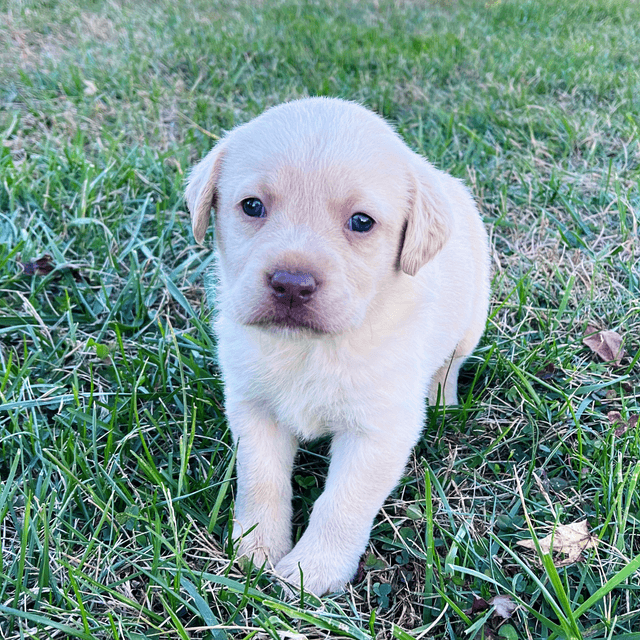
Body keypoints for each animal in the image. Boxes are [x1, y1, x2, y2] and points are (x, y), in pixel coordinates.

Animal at [185, 96, 490, 596]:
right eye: (252, 206)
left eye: (361, 222)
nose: (291, 284)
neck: (311, 349)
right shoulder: (252, 408)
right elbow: (261, 480)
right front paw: (256, 548)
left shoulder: (379, 432)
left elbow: (342, 503)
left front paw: (312, 569)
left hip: (472, 319)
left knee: (451, 363)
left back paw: (442, 399)